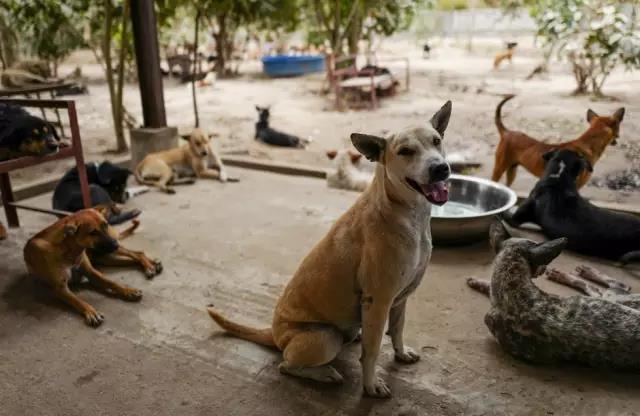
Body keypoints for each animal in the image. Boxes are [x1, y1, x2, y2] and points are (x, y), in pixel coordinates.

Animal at [23, 206, 161, 326]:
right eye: (93, 232)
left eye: (105, 224)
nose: (115, 244)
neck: (68, 249)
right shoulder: (60, 288)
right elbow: (79, 301)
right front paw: (91, 312)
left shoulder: (92, 272)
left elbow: (112, 282)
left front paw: (128, 290)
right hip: (105, 257)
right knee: (135, 256)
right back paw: (152, 265)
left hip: (109, 252)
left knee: (137, 253)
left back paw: (151, 265)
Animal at [208, 100, 452, 396]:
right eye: (405, 151)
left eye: (436, 141)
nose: (441, 168)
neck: (406, 213)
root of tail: (274, 333)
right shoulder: (378, 301)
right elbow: (371, 352)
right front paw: (370, 386)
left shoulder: (400, 299)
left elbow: (397, 329)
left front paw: (401, 353)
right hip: (327, 337)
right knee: (286, 365)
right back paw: (324, 374)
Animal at [490, 95, 624, 188]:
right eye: (618, 127)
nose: (618, 138)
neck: (588, 144)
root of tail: (506, 132)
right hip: (499, 168)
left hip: (512, 170)